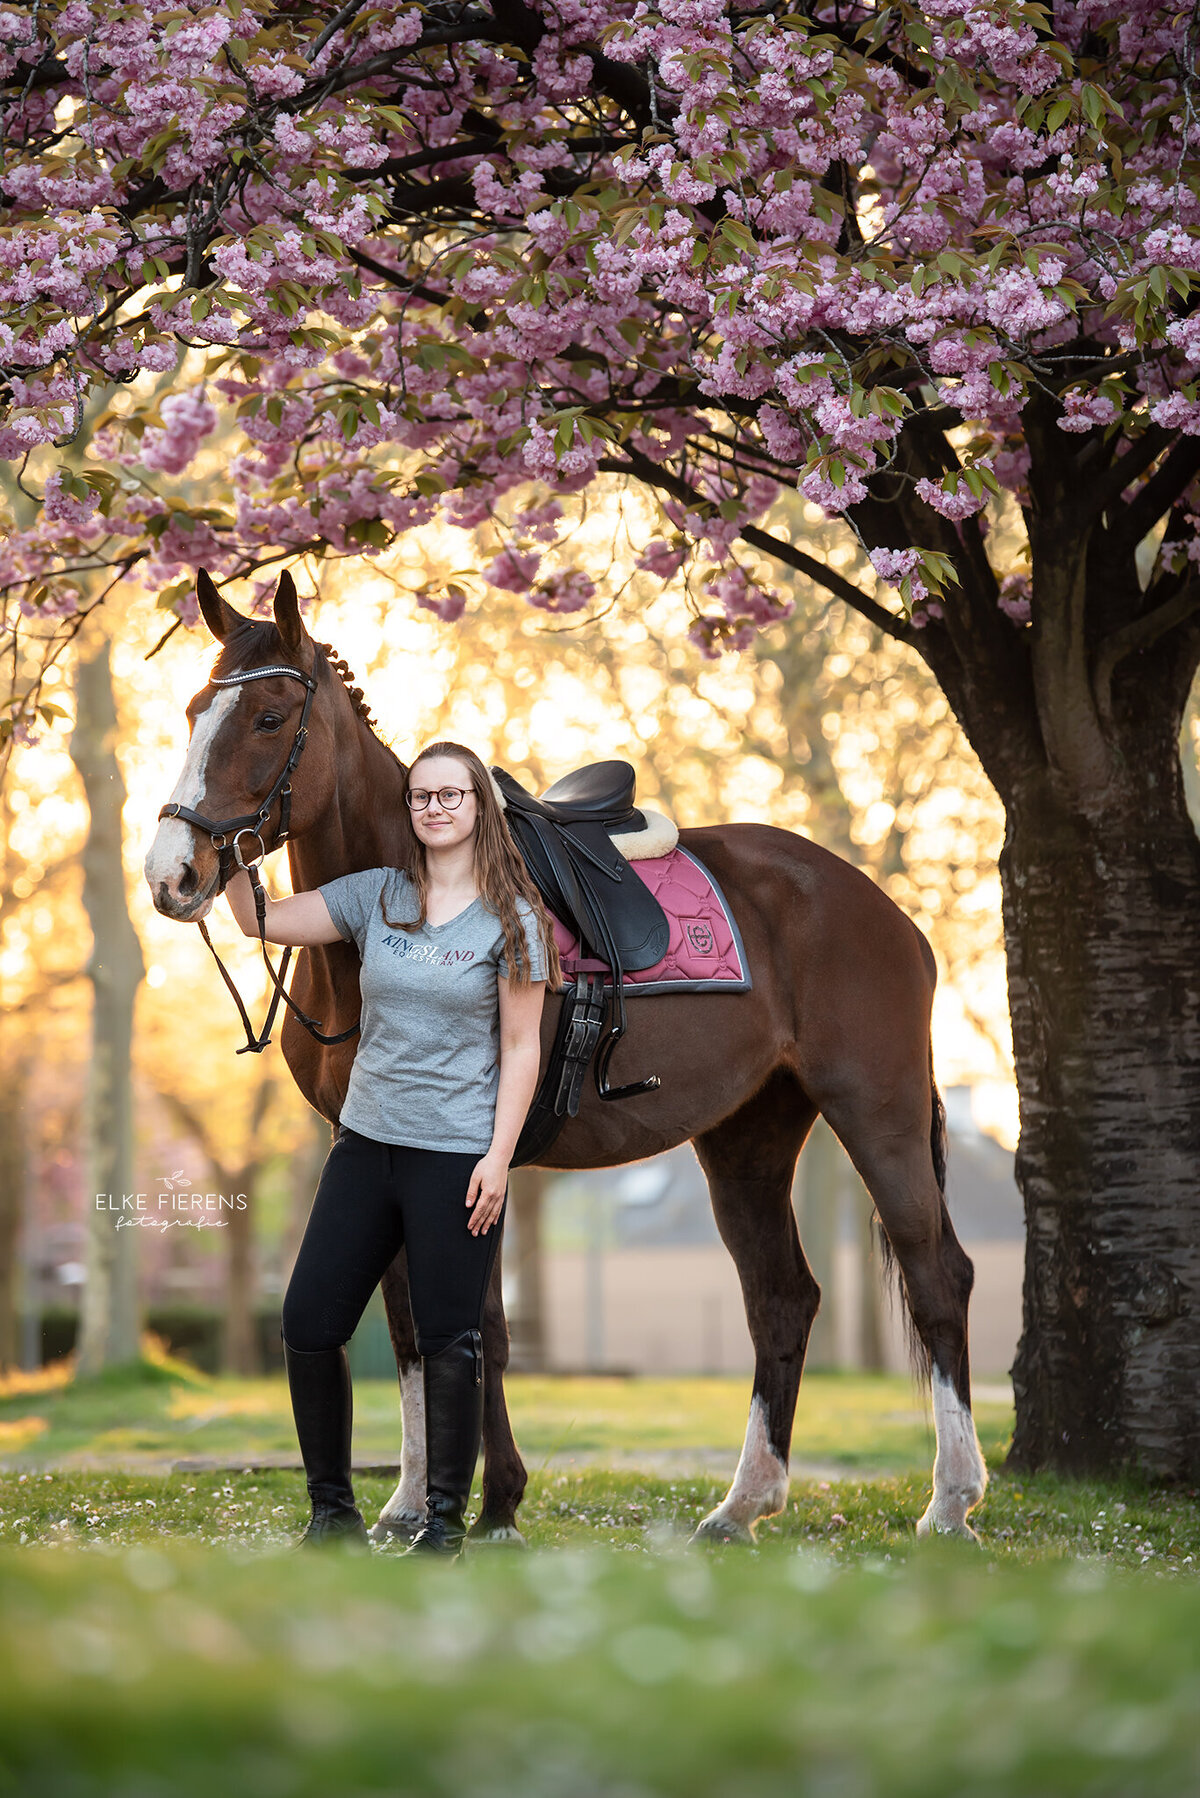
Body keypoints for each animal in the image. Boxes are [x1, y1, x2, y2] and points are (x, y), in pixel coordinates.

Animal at [143, 575, 985, 1546]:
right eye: (195, 710)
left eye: (271, 717)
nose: (172, 874)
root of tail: (881, 906)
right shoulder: (369, 1148)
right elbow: (406, 1323)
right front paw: (409, 1502)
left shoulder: (480, 1159)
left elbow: (477, 1325)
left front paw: (496, 1503)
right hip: (749, 1136)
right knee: (782, 1298)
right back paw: (743, 1504)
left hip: (877, 1112)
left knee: (936, 1277)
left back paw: (951, 1501)